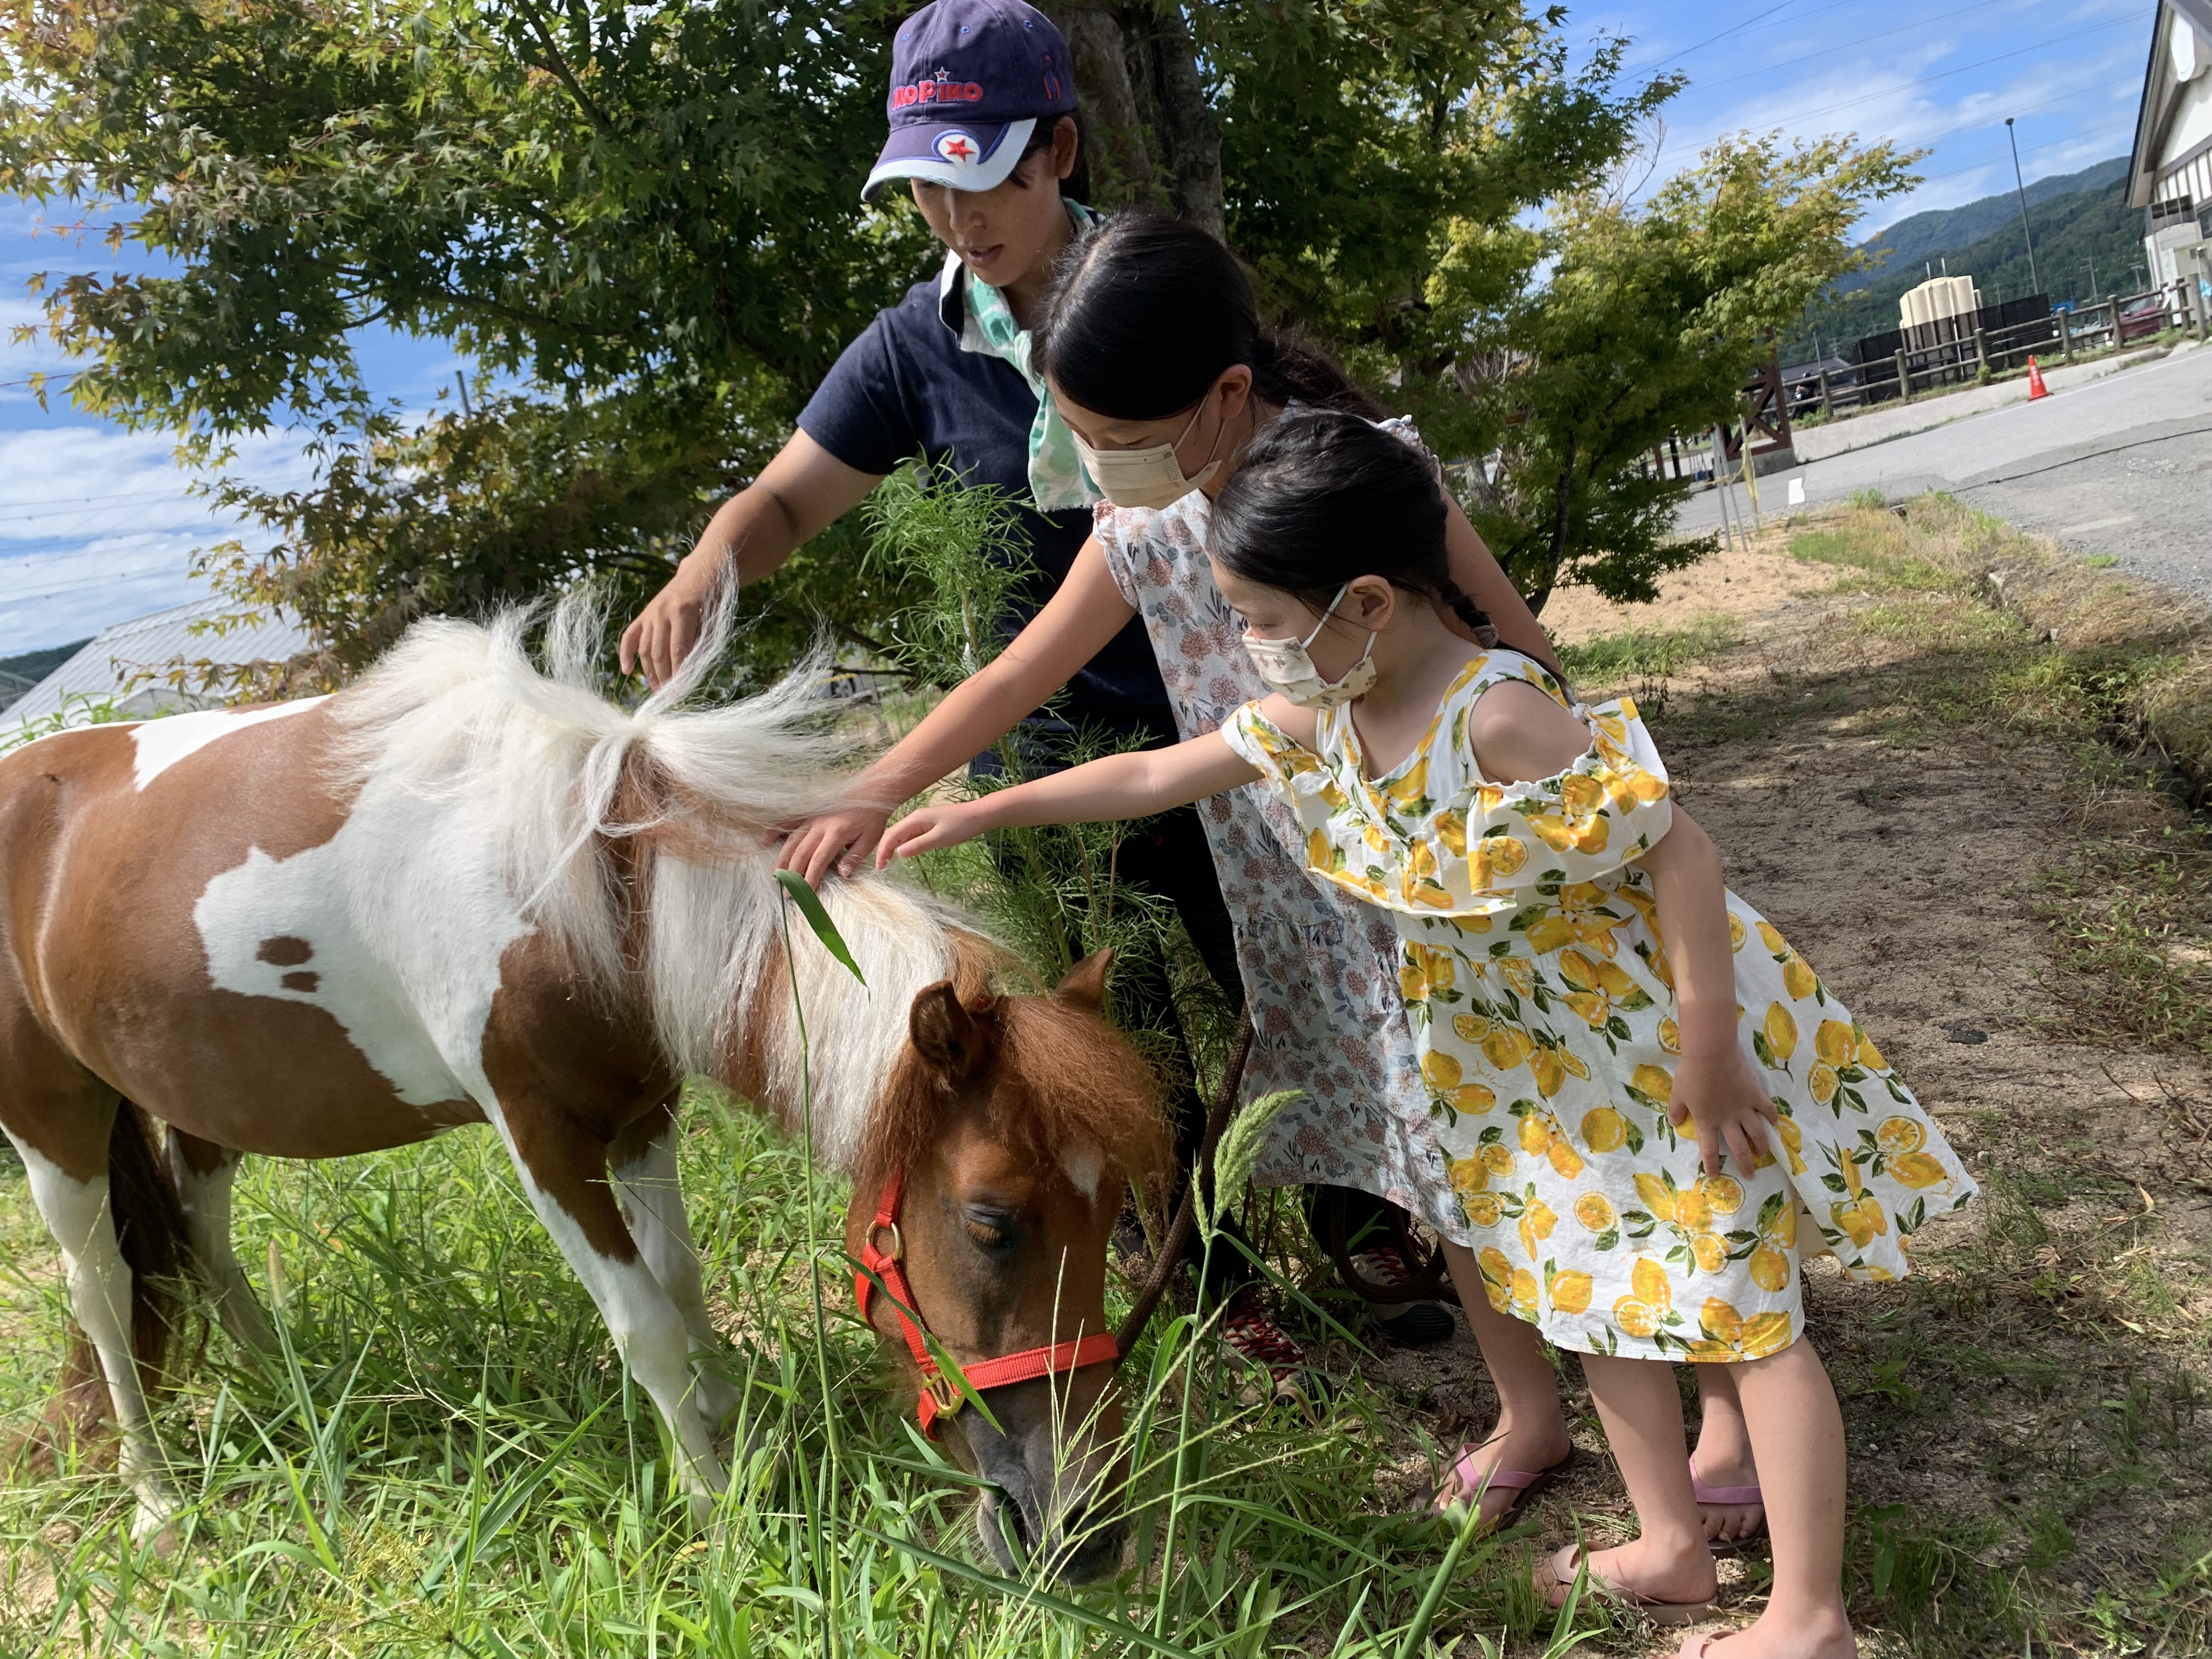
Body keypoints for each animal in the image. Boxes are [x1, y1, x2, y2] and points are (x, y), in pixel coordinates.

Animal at [0, 601, 1167, 1583]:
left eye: (1117, 1207)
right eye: (990, 1221)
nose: (1088, 1536)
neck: (590, 884)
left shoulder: (643, 1114)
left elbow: (682, 1281)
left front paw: (731, 1421)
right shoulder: (545, 1142)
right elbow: (642, 1319)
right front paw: (716, 1509)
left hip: (202, 1107)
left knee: (202, 1237)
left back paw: (287, 1391)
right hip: (55, 1128)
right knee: (101, 1289)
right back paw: (155, 1496)